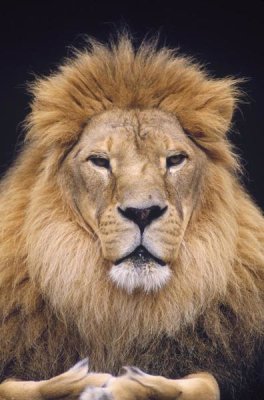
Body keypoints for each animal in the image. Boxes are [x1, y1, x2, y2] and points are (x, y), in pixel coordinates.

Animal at [0, 37, 264, 400]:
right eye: (100, 161)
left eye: (175, 160)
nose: (142, 212)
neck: (126, 309)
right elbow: (13, 387)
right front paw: (78, 381)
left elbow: (205, 382)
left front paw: (139, 383)